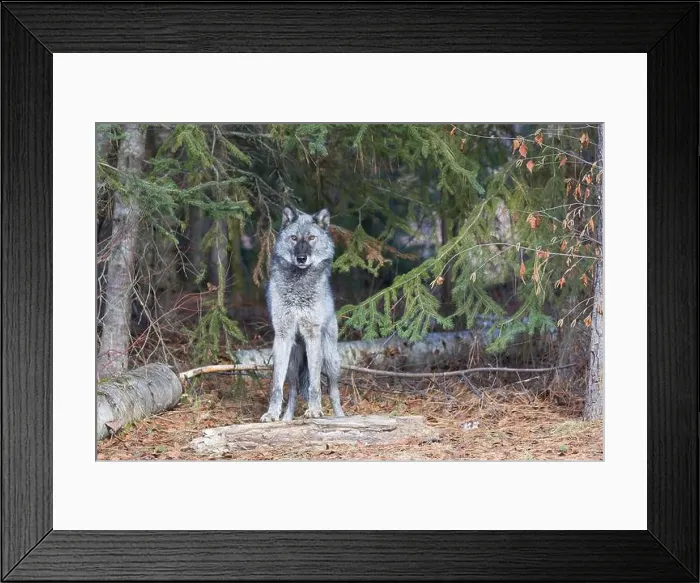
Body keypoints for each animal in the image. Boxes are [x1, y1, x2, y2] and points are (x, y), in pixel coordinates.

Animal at [260, 206, 345, 422]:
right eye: (294, 238)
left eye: (311, 238)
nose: (301, 258)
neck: (298, 286)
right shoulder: (282, 336)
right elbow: (276, 386)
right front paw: (272, 414)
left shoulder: (312, 335)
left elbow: (315, 384)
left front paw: (314, 410)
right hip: (292, 364)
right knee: (293, 391)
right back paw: (286, 419)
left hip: (330, 359)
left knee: (333, 391)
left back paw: (341, 417)